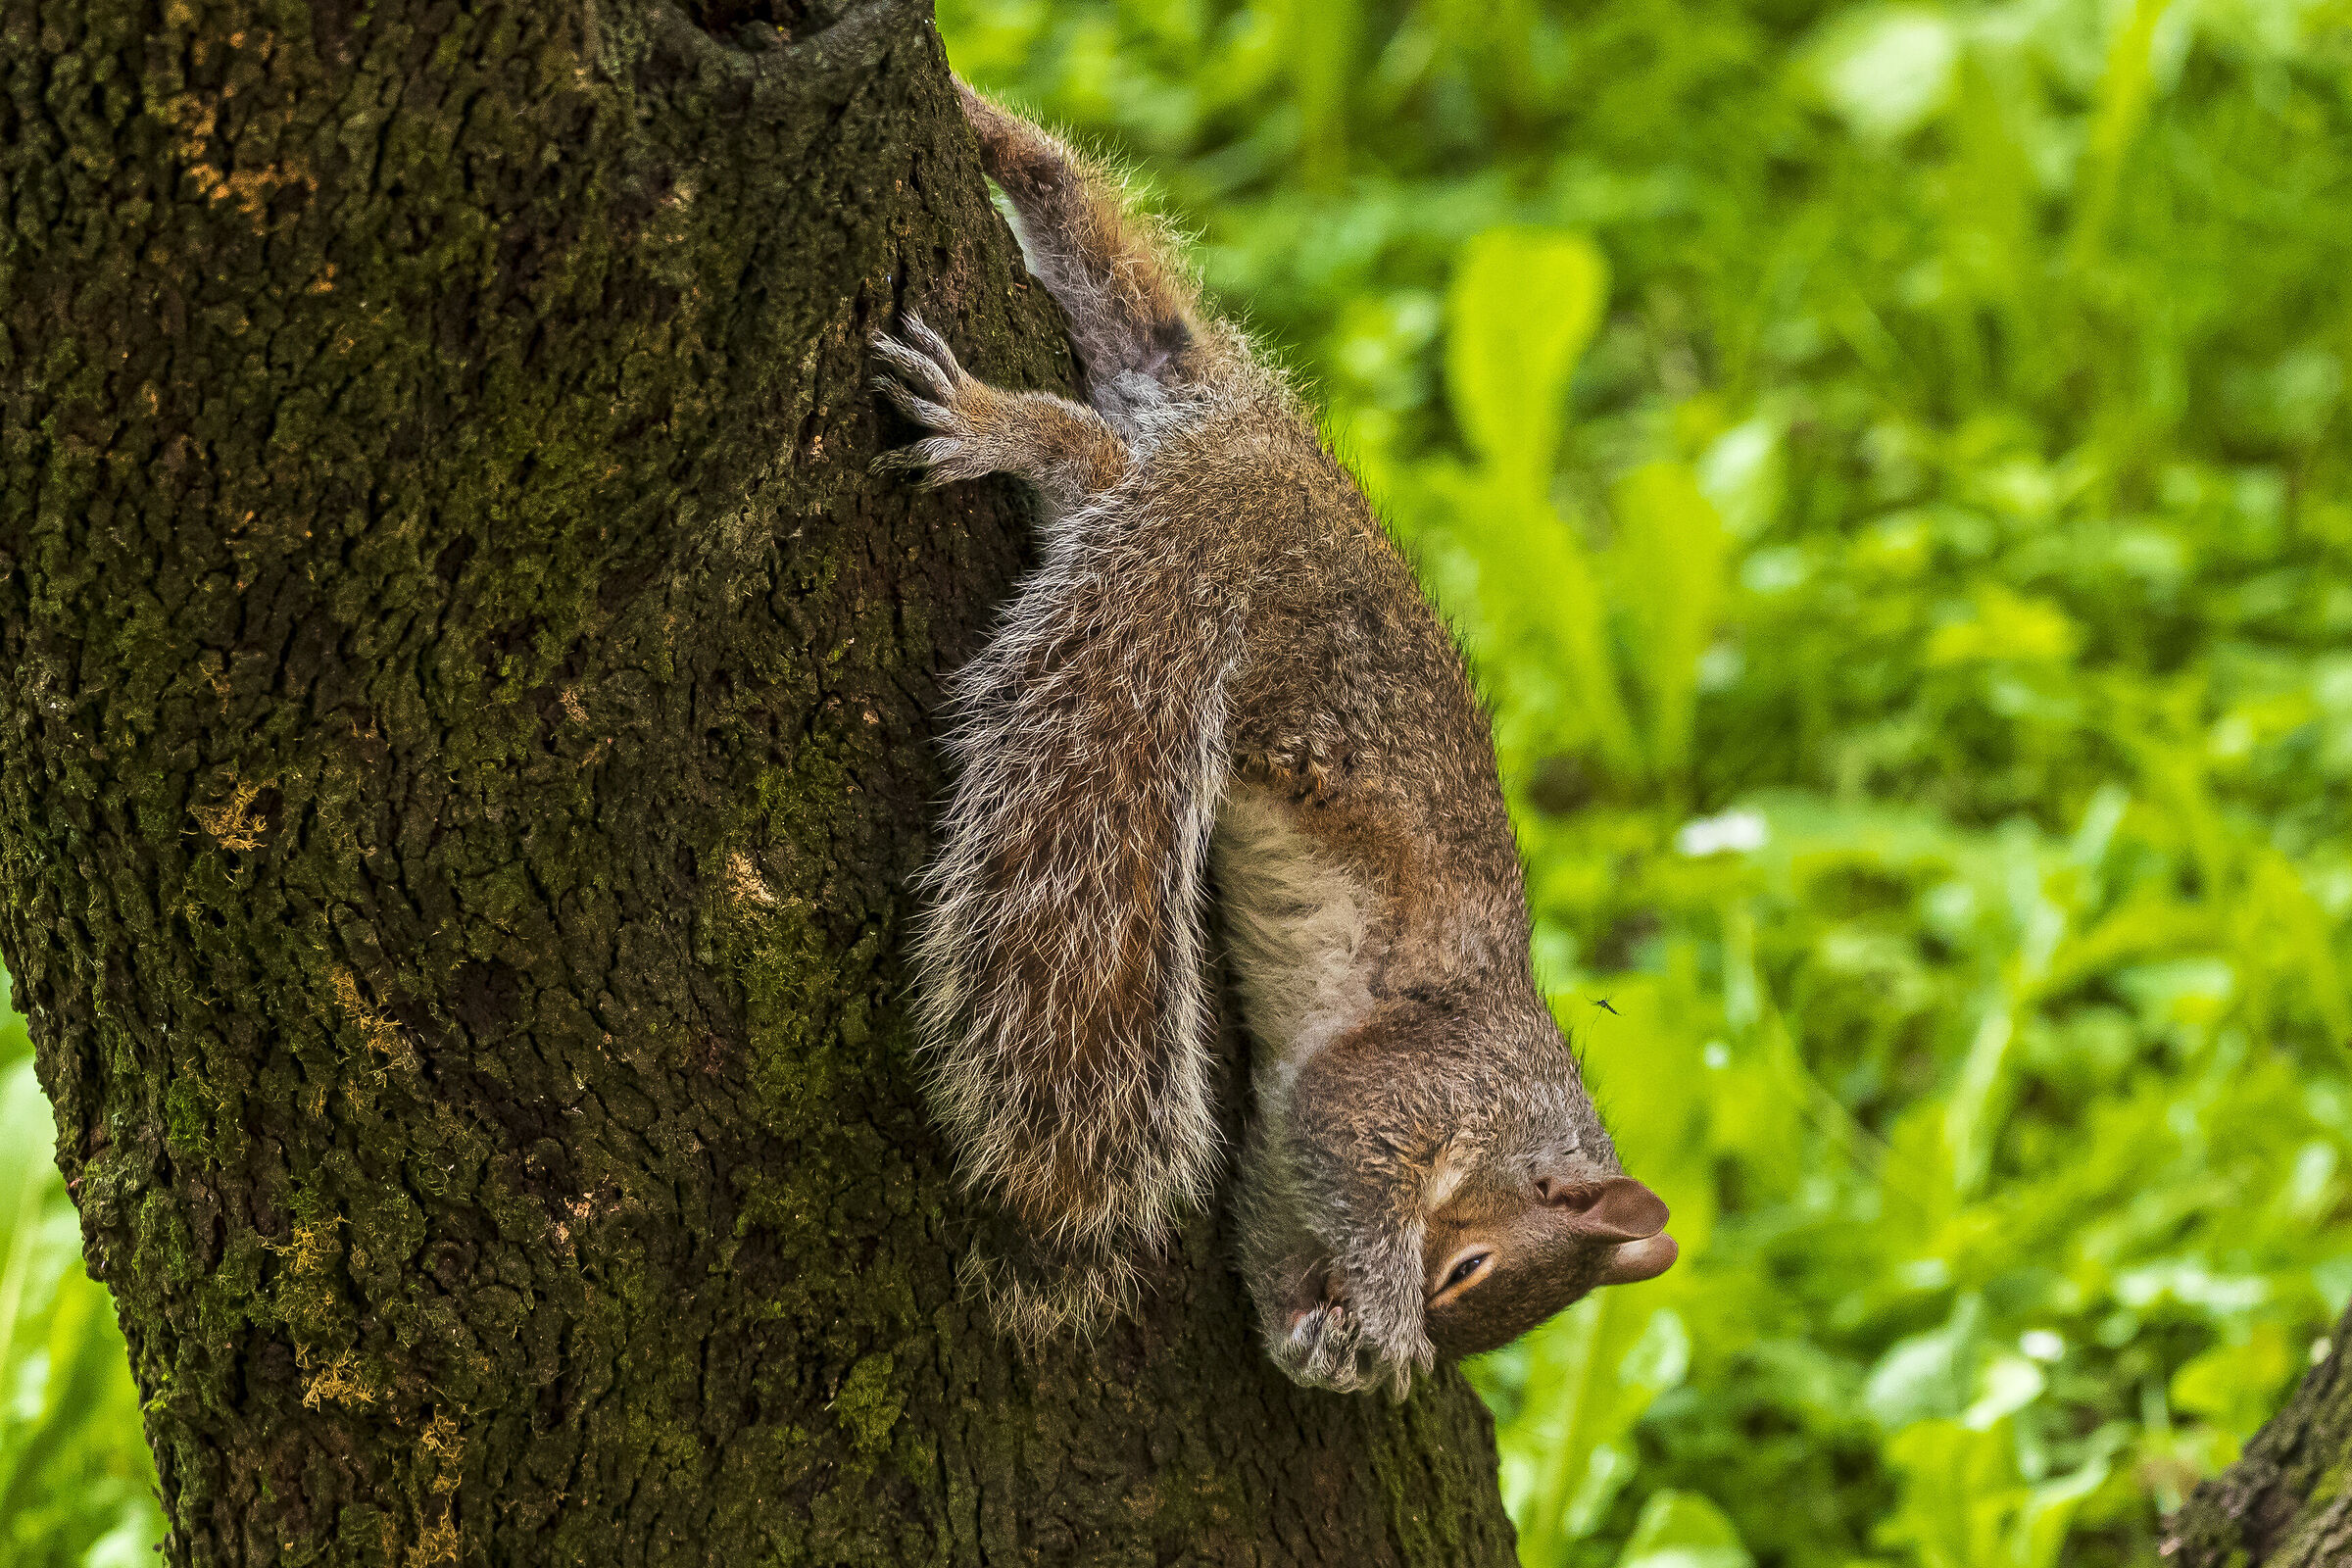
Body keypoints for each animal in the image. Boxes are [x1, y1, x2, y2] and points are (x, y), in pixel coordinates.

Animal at [874, 79, 1677, 1397]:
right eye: (1470, 1271)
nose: (1360, 1340)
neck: (1515, 1104)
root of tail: (1253, 485)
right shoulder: (1399, 1081)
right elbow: (1351, 1131)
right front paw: (1385, 1325)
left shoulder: (1281, 1169)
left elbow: (1267, 1218)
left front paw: (1326, 1340)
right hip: (1262, 651)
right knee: (1084, 457)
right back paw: (995, 419)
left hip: (1180, 377)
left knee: (1110, 268)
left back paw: (993, 132)